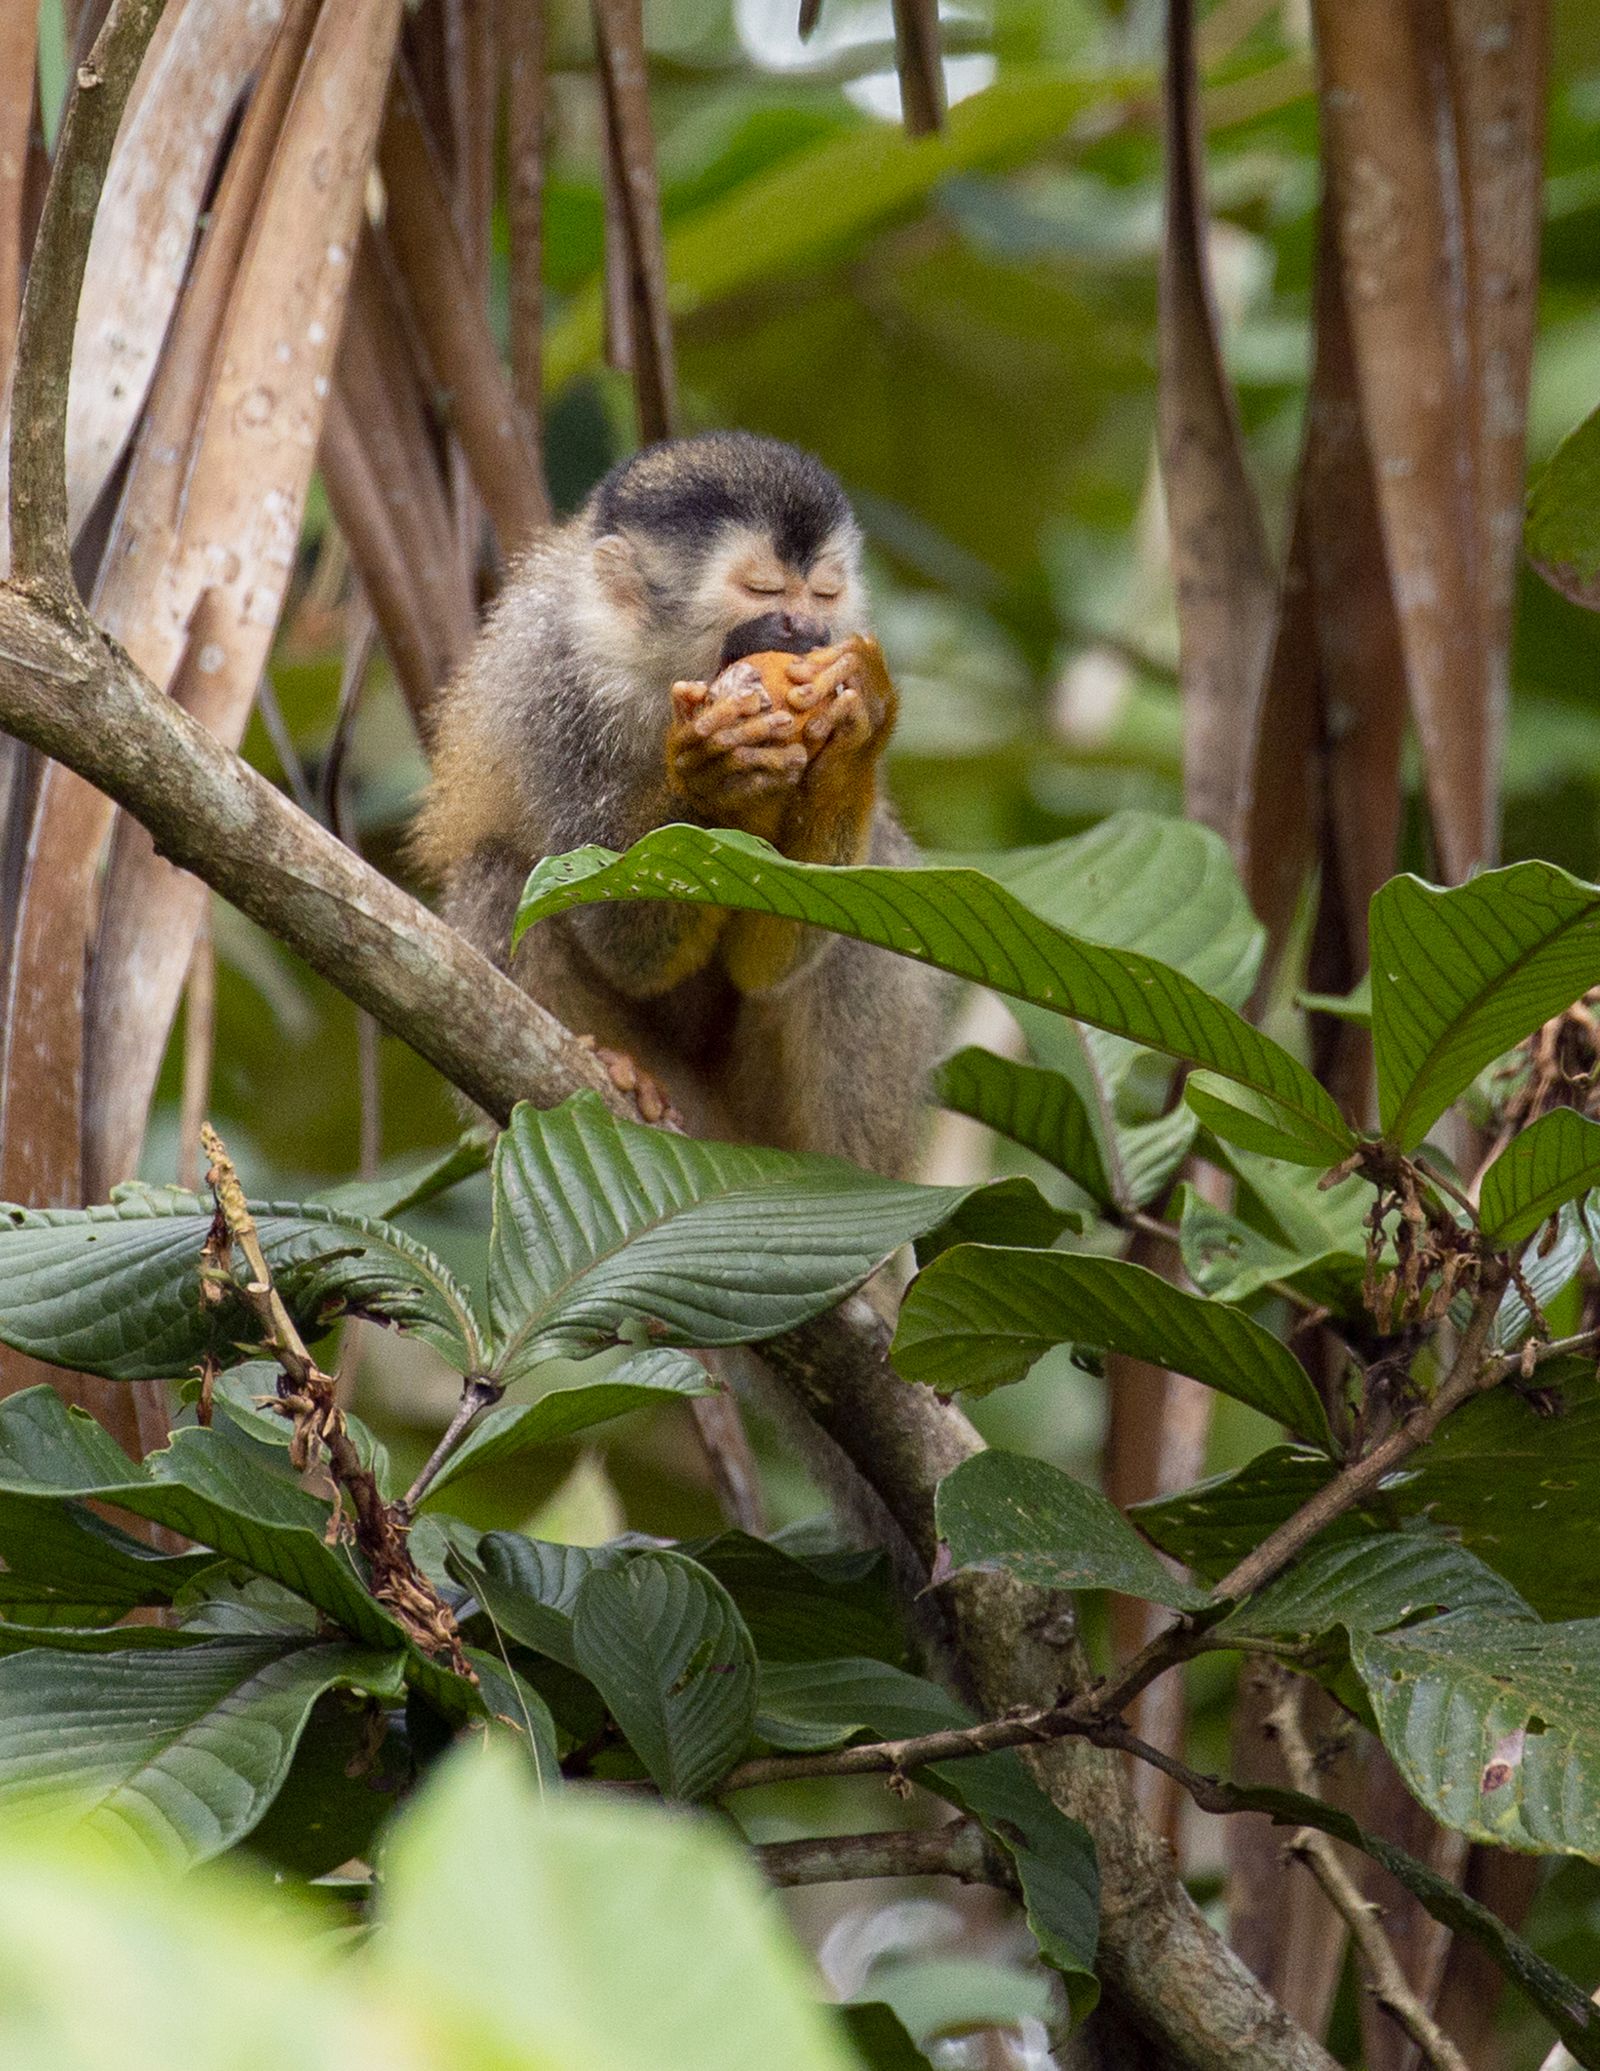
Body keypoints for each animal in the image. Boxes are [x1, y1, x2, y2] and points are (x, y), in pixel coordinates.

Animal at [411, 431, 950, 1180]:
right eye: (761, 590)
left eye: (825, 593)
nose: (804, 628)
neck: (660, 672)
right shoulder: (559, 696)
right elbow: (626, 942)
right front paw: (714, 771)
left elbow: (783, 949)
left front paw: (857, 728)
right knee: (499, 873)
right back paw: (618, 1071)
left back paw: (850, 1175)